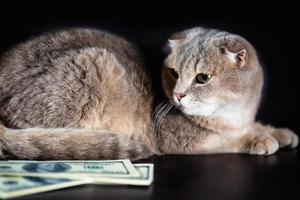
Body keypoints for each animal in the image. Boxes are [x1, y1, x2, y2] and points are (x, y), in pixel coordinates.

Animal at [0, 27, 296, 160]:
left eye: (202, 78)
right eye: (174, 73)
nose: (178, 96)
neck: (231, 115)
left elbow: (254, 126)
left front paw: (278, 132)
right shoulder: (181, 141)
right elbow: (228, 141)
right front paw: (259, 140)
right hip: (93, 65)